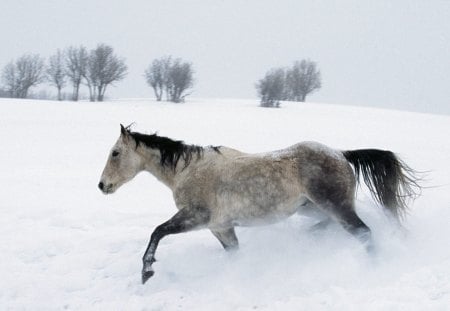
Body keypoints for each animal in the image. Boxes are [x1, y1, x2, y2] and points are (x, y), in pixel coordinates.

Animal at [98, 125, 422, 286]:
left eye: (115, 153)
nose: (102, 185)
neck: (188, 170)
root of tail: (341, 154)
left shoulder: (196, 217)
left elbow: (157, 231)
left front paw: (146, 271)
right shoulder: (221, 227)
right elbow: (234, 254)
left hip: (335, 206)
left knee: (364, 233)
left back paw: (374, 267)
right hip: (312, 207)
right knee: (333, 225)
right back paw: (308, 238)